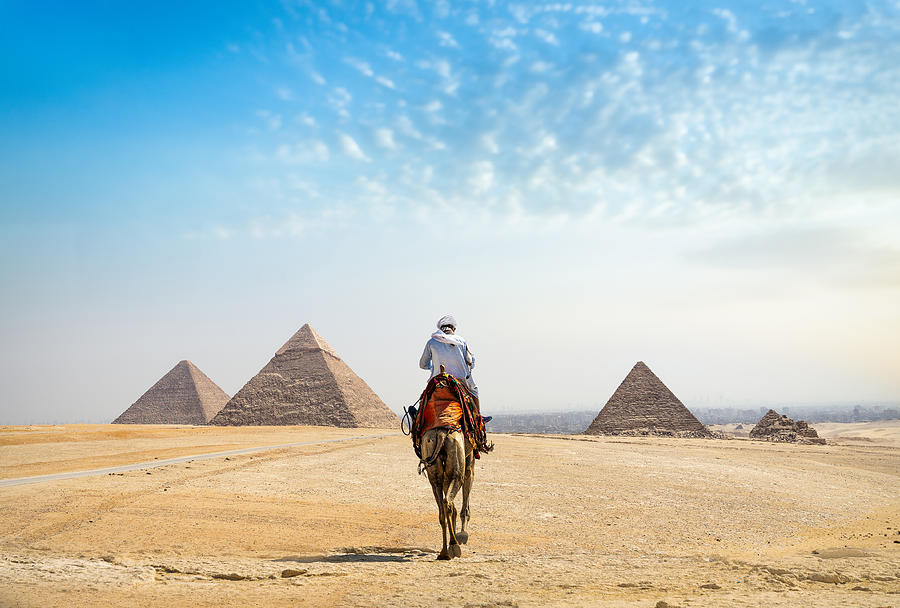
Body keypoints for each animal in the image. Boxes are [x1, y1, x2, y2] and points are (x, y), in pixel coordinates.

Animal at [422, 426, 478, 560]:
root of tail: (441, 434)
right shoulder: (470, 459)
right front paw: (463, 534)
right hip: (456, 457)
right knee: (448, 501)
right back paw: (453, 545)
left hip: (432, 463)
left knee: (442, 508)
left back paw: (444, 552)